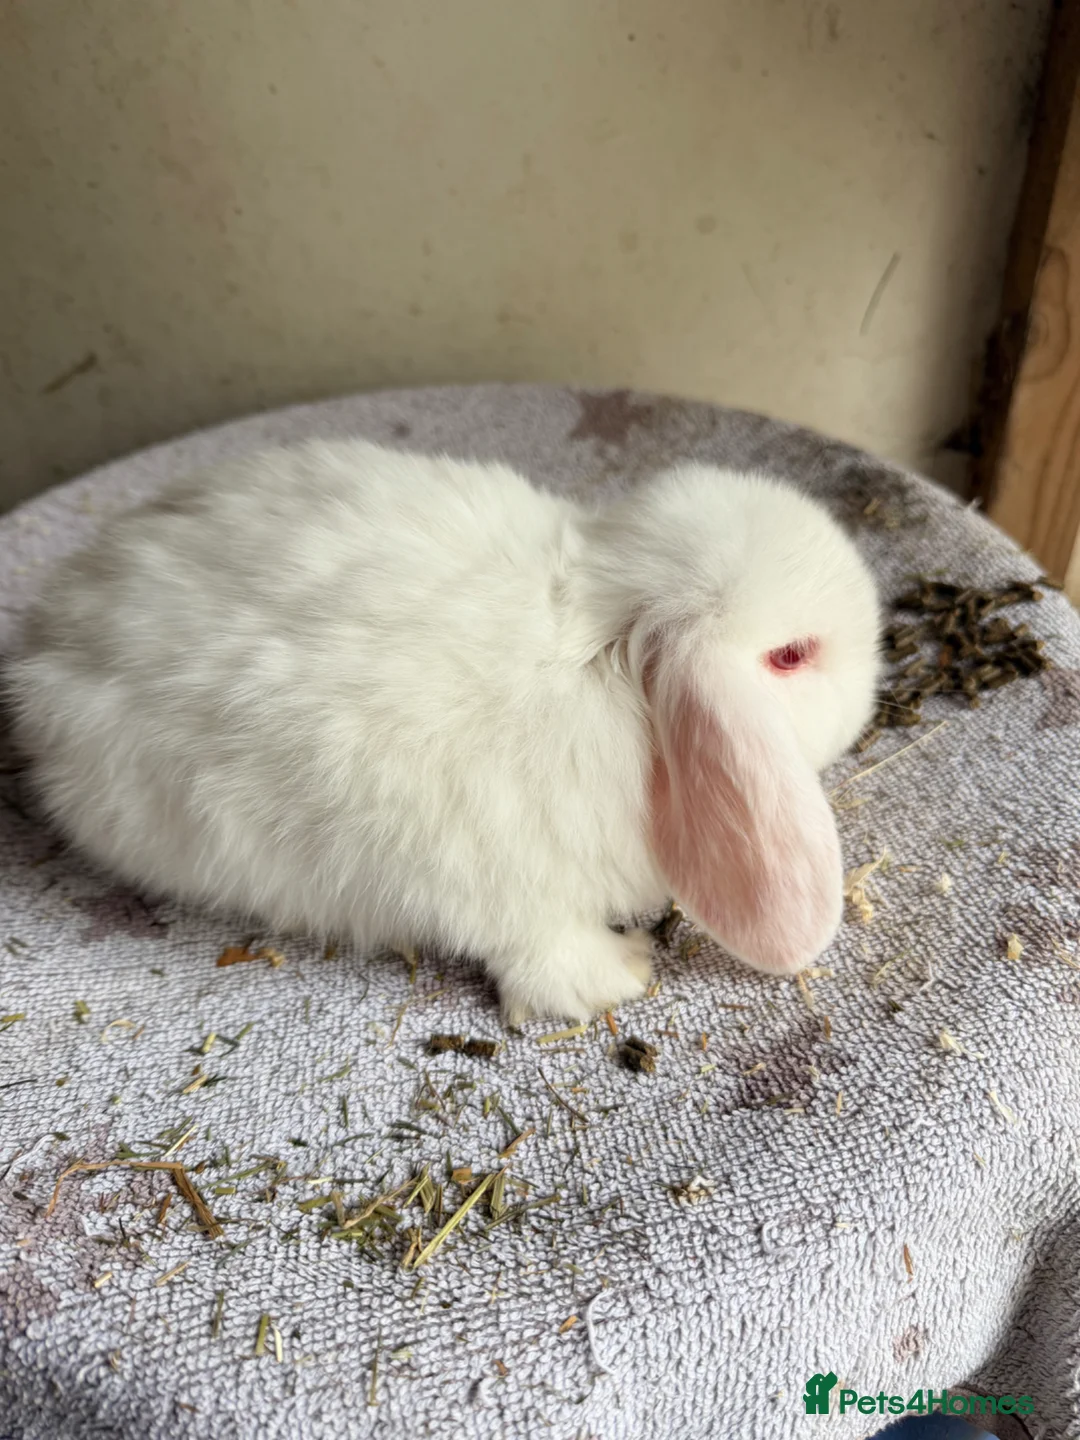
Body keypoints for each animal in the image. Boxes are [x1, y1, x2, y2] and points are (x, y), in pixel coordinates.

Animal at [7, 438, 880, 1023]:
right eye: (791, 655)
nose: (875, 681)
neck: (607, 660)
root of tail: (46, 641)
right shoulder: (494, 877)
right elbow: (543, 952)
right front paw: (623, 973)